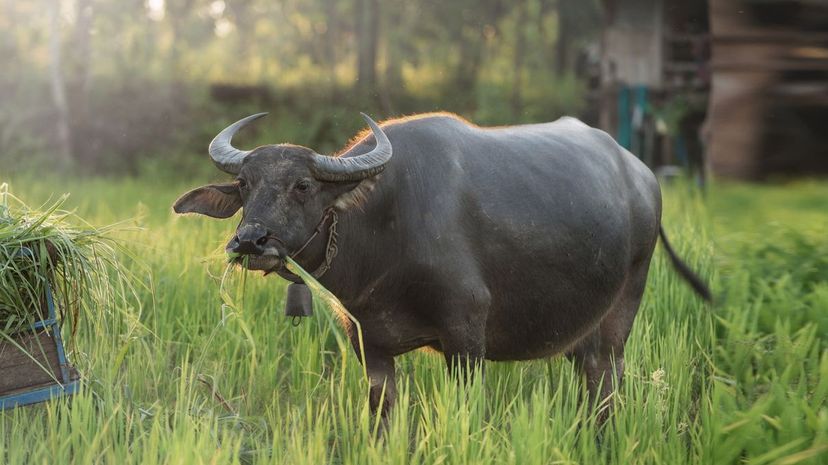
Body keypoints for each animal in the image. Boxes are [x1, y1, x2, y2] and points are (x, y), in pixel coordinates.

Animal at [173, 112, 710, 418]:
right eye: (244, 185)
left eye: (303, 186)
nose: (250, 240)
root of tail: (642, 175)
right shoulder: (369, 346)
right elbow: (383, 416)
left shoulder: (466, 337)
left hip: (625, 304)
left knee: (608, 378)